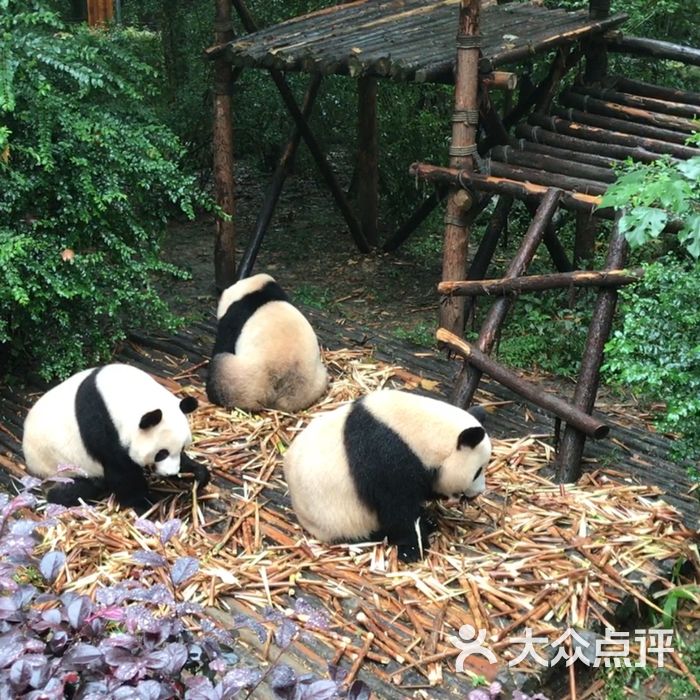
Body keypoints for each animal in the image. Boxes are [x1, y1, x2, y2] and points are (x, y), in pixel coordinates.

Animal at [22, 364, 211, 512]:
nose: (171, 472)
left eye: (182, 448)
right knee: (76, 487)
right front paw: (146, 502)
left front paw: (198, 474)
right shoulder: (104, 430)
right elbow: (121, 473)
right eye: (161, 454)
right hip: (59, 465)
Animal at [282, 388, 490, 564]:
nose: (479, 492)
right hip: (335, 517)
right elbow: (397, 508)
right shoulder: (386, 459)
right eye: (477, 471)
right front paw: (414, 549)